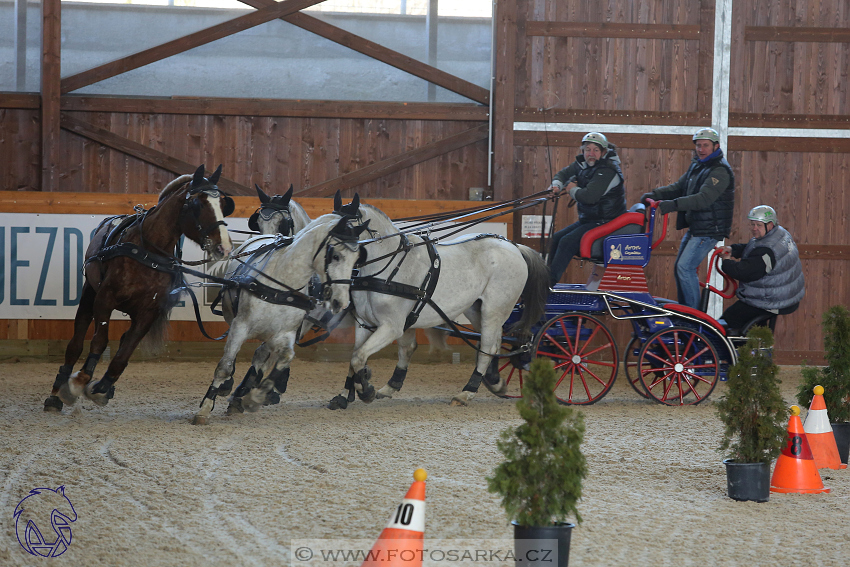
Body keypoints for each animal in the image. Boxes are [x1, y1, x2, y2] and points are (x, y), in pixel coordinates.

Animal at [44, 164, 234, 412]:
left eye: (223, 204)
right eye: (197, 203)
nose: (224, 247)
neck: (148, 252)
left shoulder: (148, 313)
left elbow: (123, 355)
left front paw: (101, 388)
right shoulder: (104, 298)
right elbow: (99, 341)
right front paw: (80, 381)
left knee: (124, 339)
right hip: (88, 294)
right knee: (75, 344)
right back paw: (56, 392)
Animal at [194, 204, 370, 426]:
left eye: (357, 259)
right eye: (336, 255)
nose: (341, 301)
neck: (283, 284)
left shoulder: (285, 333)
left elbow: (284, 358)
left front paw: (256, 397)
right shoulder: (241, 325)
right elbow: (225, 365)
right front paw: (205, 407)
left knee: (261, 355)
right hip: (231, 315)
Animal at [324, 203, 548, 408]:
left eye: (346, 233)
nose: (333, 296)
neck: (387, 267)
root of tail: (515, 246)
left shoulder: (391, 327)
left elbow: (359, 357)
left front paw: (365, 389)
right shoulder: (364, 323)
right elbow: (356, 357)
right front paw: (346, 394)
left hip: (494, 309)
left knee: (487, 345)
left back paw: (466, 393)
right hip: (476, 308)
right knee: (493, 342)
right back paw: (495, 383)